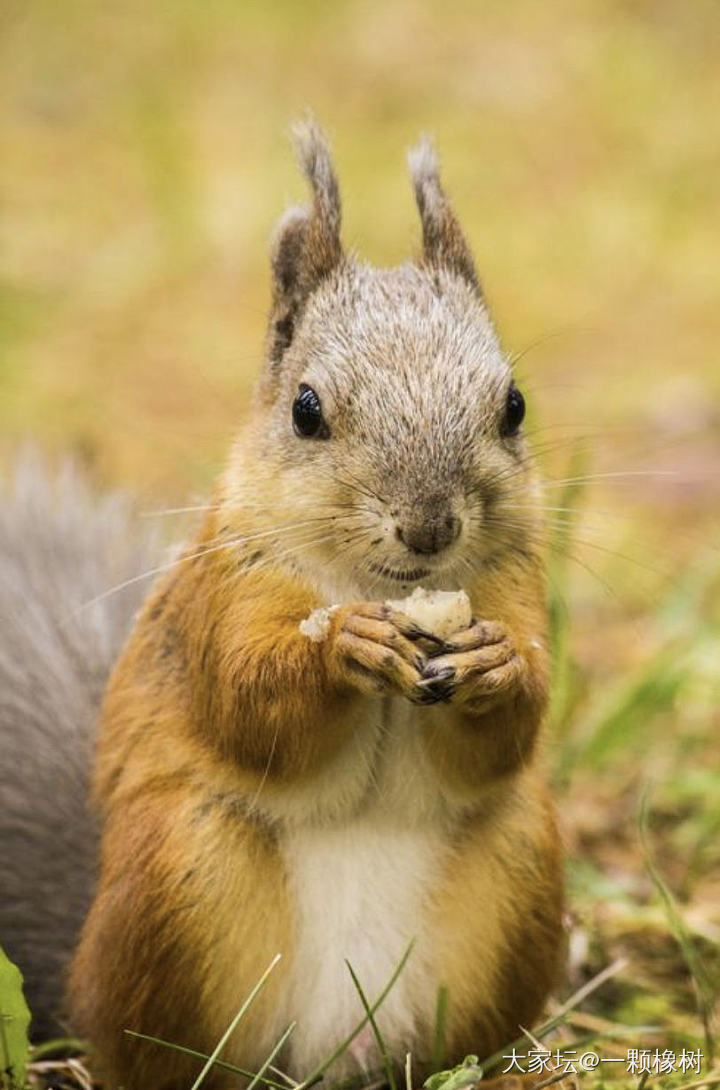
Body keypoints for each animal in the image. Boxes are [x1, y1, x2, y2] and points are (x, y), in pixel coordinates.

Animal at [0, 123, 566, 1085]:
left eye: (515, 406)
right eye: (306, 410)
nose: (429, 526)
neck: (388, 587)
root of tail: (329, 1052)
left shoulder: (515, 589)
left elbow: (506, 737)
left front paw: (496, 665)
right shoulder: (222, 597)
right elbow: (246, 706)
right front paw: (342, 646)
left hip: (519, 869)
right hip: (180, 872)